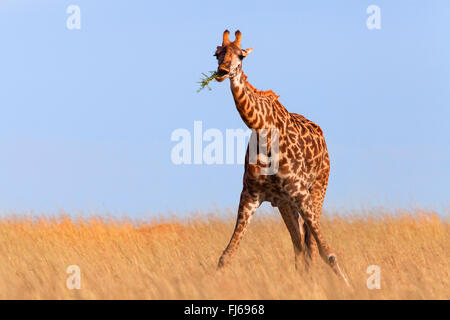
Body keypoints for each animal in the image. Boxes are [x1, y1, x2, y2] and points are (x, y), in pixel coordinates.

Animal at [213, 30, 350, 284]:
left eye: (241, 55)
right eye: (217, 54)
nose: (222, 71)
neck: (263, 129)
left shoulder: (300, 193)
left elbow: (328, 252)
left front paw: (347, 286)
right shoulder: (251, 194)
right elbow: (227, 255)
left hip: (318, 188)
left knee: (310, 244)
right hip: (285, 203)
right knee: (299, 243)